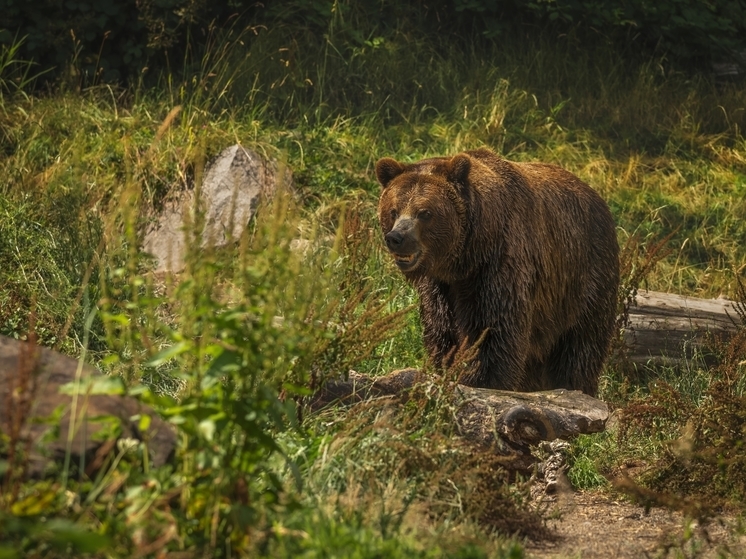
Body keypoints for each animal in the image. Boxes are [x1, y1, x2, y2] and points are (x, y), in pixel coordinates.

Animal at [374, 147, 620, 396]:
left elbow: (492, 331)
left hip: (583, 280)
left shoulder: (498, 267)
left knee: (580, 347)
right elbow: (442, 331)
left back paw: (575, 386)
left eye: (425, 212)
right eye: (393, 211)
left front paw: (478, 380)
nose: (397, 238)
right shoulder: (440, 286)